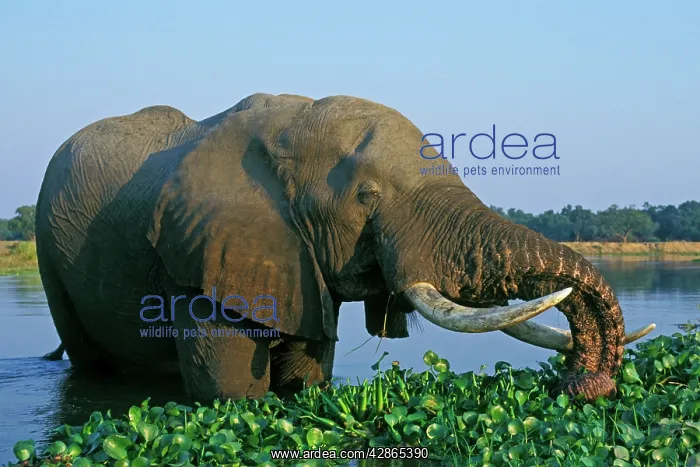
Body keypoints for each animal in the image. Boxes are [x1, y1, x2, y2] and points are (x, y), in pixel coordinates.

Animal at [36, 92, 655, 403]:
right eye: (367, 196)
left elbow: (309, 380)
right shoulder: (195, 261)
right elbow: (234, 398)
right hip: (49, 248)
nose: (581, 386)